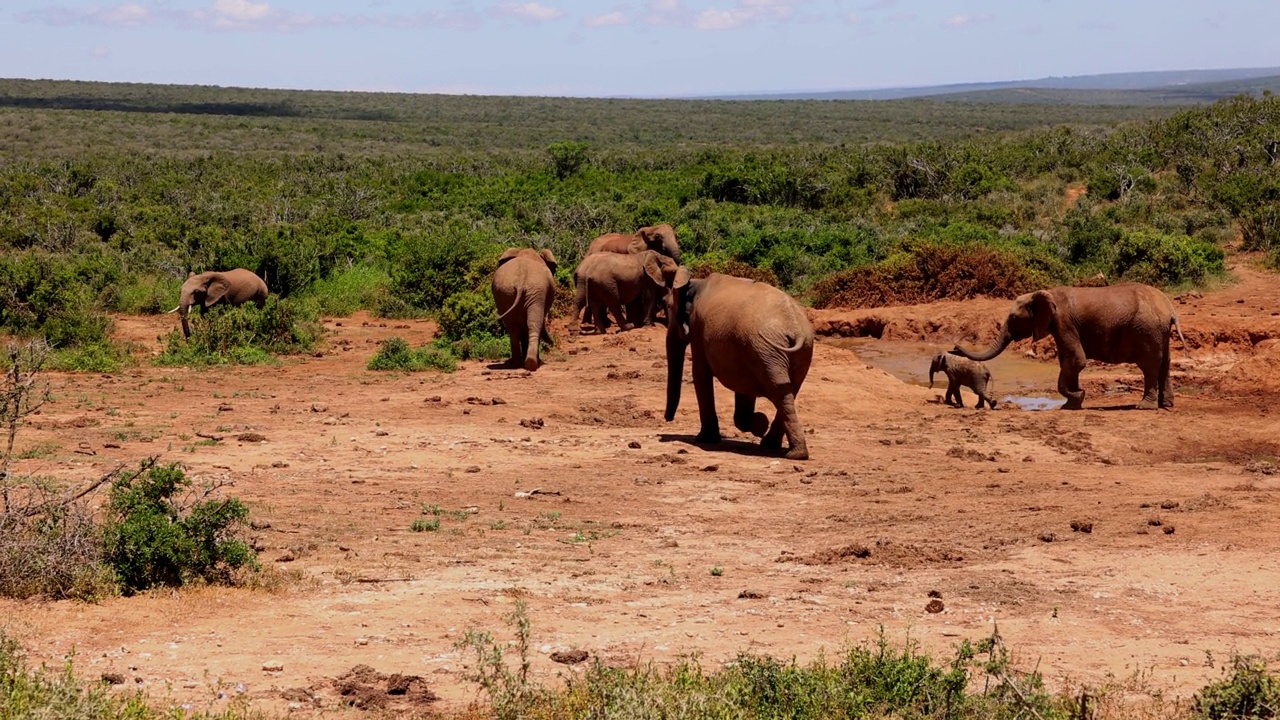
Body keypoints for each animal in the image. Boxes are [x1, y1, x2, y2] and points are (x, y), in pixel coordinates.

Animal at [665, 269, 814, 458]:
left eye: (669, 307)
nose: (668, 419)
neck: (696, 282)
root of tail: (796, 329)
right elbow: (743, 387)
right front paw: (759, 423)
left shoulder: (698, 326)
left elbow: (700, 374)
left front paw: (704, 439)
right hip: (784, 351)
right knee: (789, 391)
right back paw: (779, 447)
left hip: (767, 350)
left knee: (780, 391)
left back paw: (786, 450)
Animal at [952, 283, 1187, 412]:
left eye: (1013, 318)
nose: (954, 347)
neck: (1045, 293)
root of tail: (1170, 308)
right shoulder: (1061, 326)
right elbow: (1069, 360)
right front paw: (1074, 401)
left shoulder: (1064, 322)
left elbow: (1076, 359)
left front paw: (1077, 397)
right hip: (1159, 332)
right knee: (1164, 365)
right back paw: (1167, 405)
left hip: (1148, 331)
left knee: (1149, 367)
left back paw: (1144, 407)